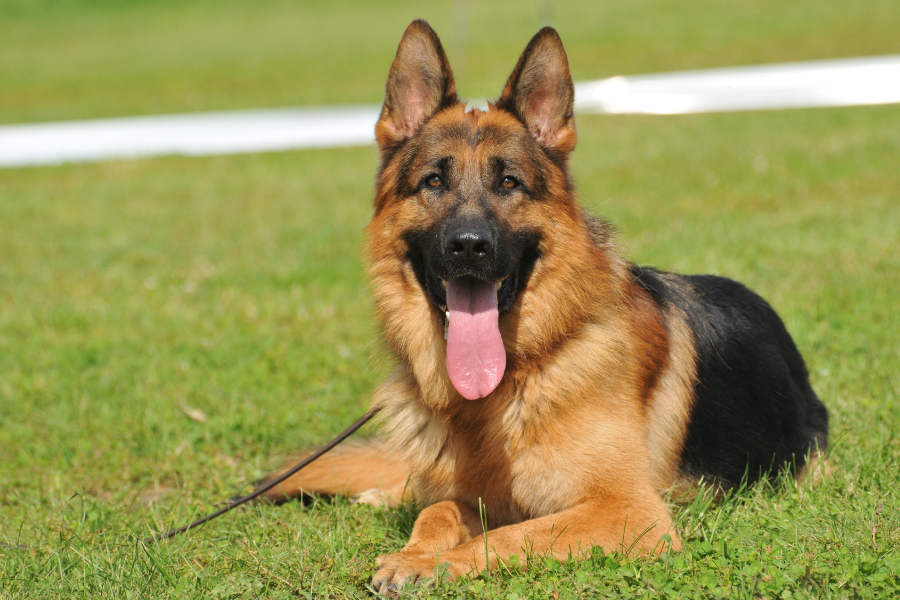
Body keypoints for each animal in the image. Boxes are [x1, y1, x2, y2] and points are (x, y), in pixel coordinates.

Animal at [260, 19, 828, 596]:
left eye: (509, 181)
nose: (469, 246)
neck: (517, 377)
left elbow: (510, 535)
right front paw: (414, 550)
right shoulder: (472, 495)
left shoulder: (629, 512)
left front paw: (430, 564)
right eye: (434, 181)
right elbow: (437, 511)